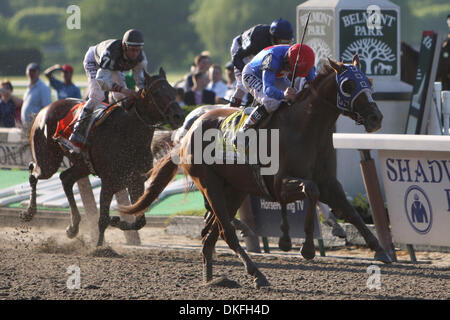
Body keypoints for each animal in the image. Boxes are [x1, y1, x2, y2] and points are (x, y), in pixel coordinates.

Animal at [20, 69, 185, 246]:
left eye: (173, 91)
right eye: (156, 92)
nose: (179, 116)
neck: (128, 132)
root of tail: (45, 109)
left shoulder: (135, 180)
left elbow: (140, 221)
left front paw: (117, 220)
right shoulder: (108, 182)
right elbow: (103, 219)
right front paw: (100, 247)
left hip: (82, 165)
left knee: (65, 178)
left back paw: (73, 227)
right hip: (48, 162)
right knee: (33, 172)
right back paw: (29, 212)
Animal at [119, 56, 390, 288]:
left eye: (369, 82)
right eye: (348, 84)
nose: (376, 118)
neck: (305, 128)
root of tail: (188, 131)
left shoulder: (329, 183)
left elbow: (350, 211)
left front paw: (380, 249)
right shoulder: (280, 183)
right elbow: (310, 191)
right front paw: (305, 248)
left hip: (234, 190)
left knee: (210, 234)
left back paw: (211, 279)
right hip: (209, 184)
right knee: (225, 232)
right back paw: (257, 274)